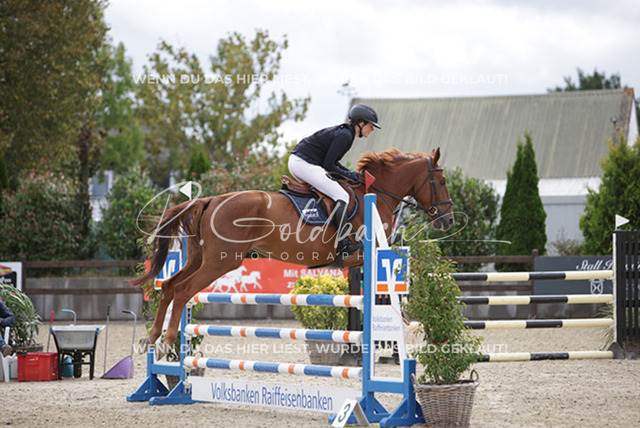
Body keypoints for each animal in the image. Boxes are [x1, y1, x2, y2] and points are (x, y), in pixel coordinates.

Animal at [131, 147, 454, 351]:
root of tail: (210, 199)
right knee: (183, 290)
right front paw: (404, 320)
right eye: (441, 181)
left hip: (201, 258)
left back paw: (152, 337)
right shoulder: (365, 254)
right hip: (221, 261)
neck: (376, 195)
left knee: (169, 286)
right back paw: (167, 340)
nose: (448, 220)